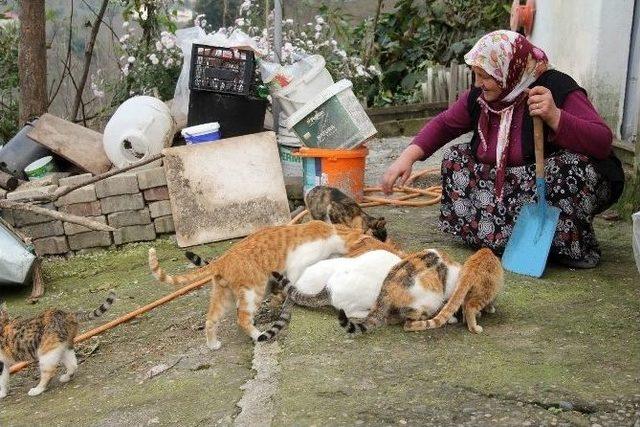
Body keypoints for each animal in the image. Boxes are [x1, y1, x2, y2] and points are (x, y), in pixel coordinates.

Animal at [147, 221, 362, 352]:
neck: (330, 232)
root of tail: (222, 260)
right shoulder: (296, 267)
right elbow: (293, 287)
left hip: (224, 297)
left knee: (210, 320)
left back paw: (213, 344)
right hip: (253, 291)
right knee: (242, 319)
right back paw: (258, 335)